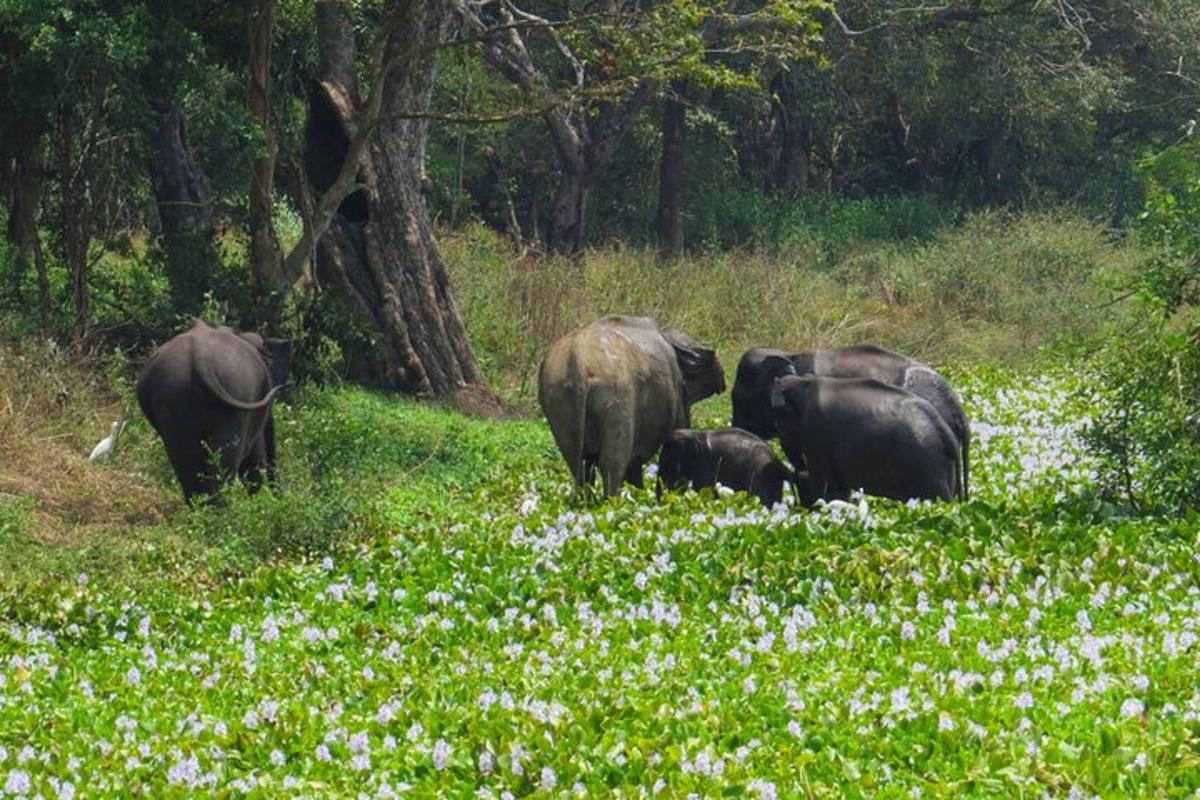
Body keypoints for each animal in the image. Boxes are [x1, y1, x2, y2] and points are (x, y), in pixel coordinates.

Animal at [136, 321, 292, 503]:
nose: (278, 494)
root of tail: (200, 358)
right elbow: (255, 456)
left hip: (173, 396)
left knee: (185, 462)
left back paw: (200, 508)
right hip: (236, 392)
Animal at [657, 431, 796, 506]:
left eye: (669, 461)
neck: (694, 433)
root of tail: (778, 462)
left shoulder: (705, 463)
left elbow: (701, 489)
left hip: (760, 475)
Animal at [772, 376, 960, 503]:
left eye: (779, 423)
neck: (804, 382)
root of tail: (943, 428)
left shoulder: (817, 433)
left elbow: (822, 483)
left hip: (926, 462)